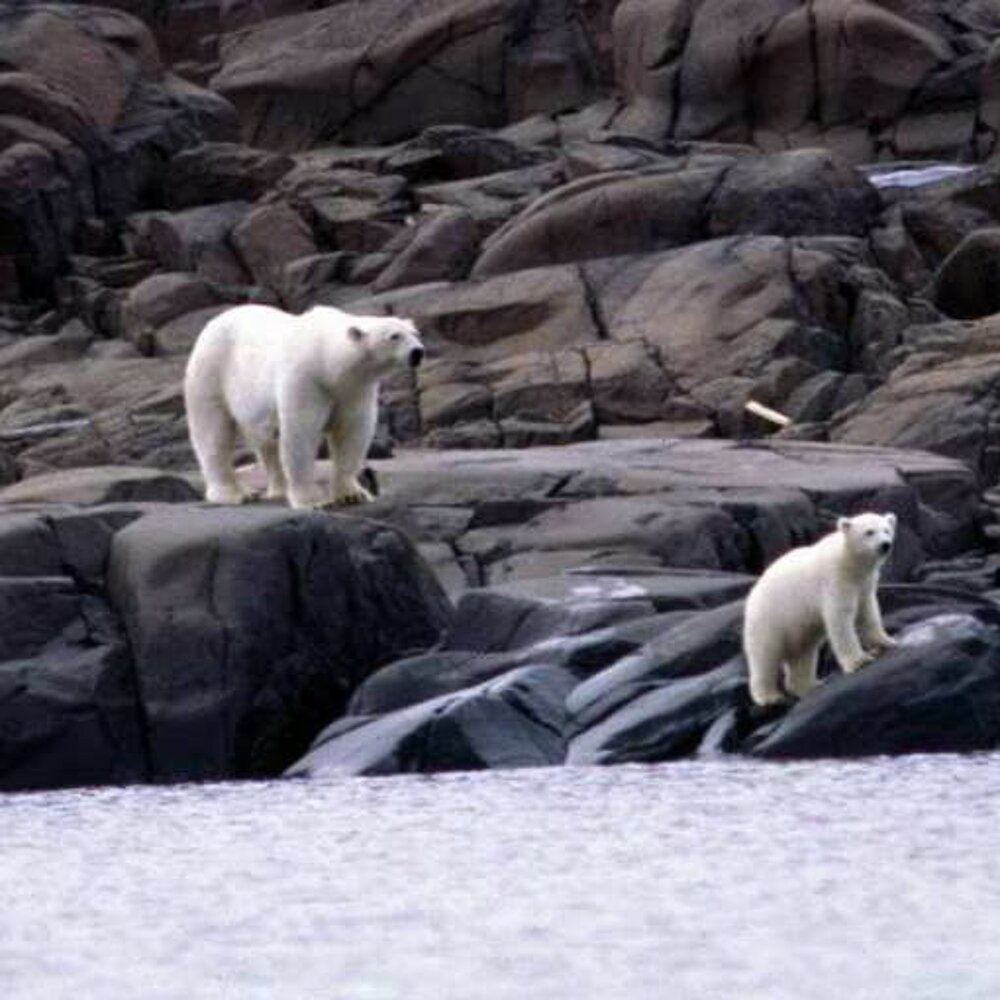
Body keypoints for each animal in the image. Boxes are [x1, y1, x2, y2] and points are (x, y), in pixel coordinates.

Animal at [184, 302, 422, 508]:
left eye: (415, 333)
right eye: (394, 336)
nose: (418, 352)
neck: (327, 359)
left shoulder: (353, 390)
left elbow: (351, 433)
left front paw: (353, 495)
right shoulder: (305, 380)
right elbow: (301, 434)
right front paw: (312, 502)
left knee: (266, 442)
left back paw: (278, 490)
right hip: (211, 373)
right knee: (213, 433)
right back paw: (234, 494)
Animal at [744, 516, 900, 704]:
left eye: (887, 530)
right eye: (869, 532)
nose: (885, 544)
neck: (849, 561)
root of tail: (752, 597)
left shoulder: (864, 584)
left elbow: (868, 613)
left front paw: (887, 641)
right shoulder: (835, 580)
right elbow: (840, 618)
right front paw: (859, 661)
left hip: (799, 629)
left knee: (804, 654)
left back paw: (809, 685)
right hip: (769, 618)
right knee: (765, 655)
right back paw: (769, 696)